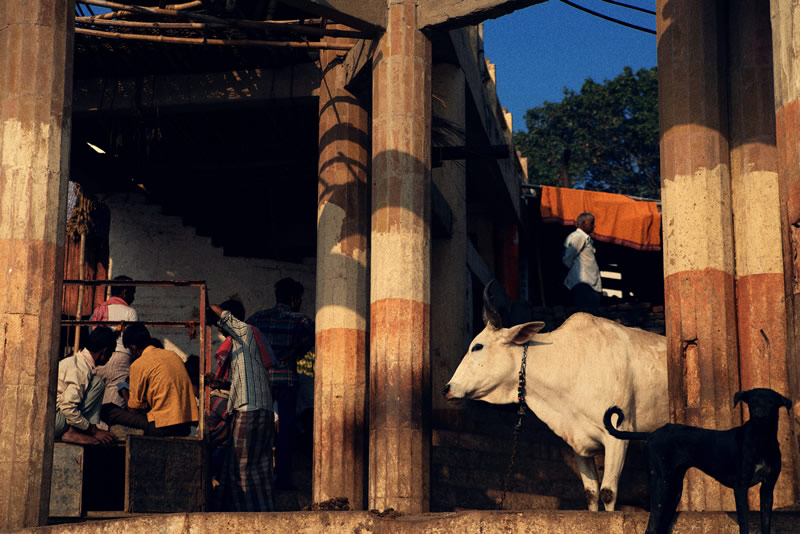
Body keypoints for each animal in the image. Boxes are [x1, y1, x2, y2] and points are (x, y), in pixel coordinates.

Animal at [444, 286, 668, 512]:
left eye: (477, 346)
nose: (448, 388)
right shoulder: (578, 442)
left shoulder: (619, 433)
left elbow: (608, 493)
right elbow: (592, 493)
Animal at [608, 390, 792, 534]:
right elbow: (744, 524)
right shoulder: (740, 487)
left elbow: (766, 523)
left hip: (674, 491)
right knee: (651, 528)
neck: (761, 440)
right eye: (753, 402)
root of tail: (651, 434)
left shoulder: (767, 488)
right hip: (661, 486)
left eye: (771, 402)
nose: (759, 414)